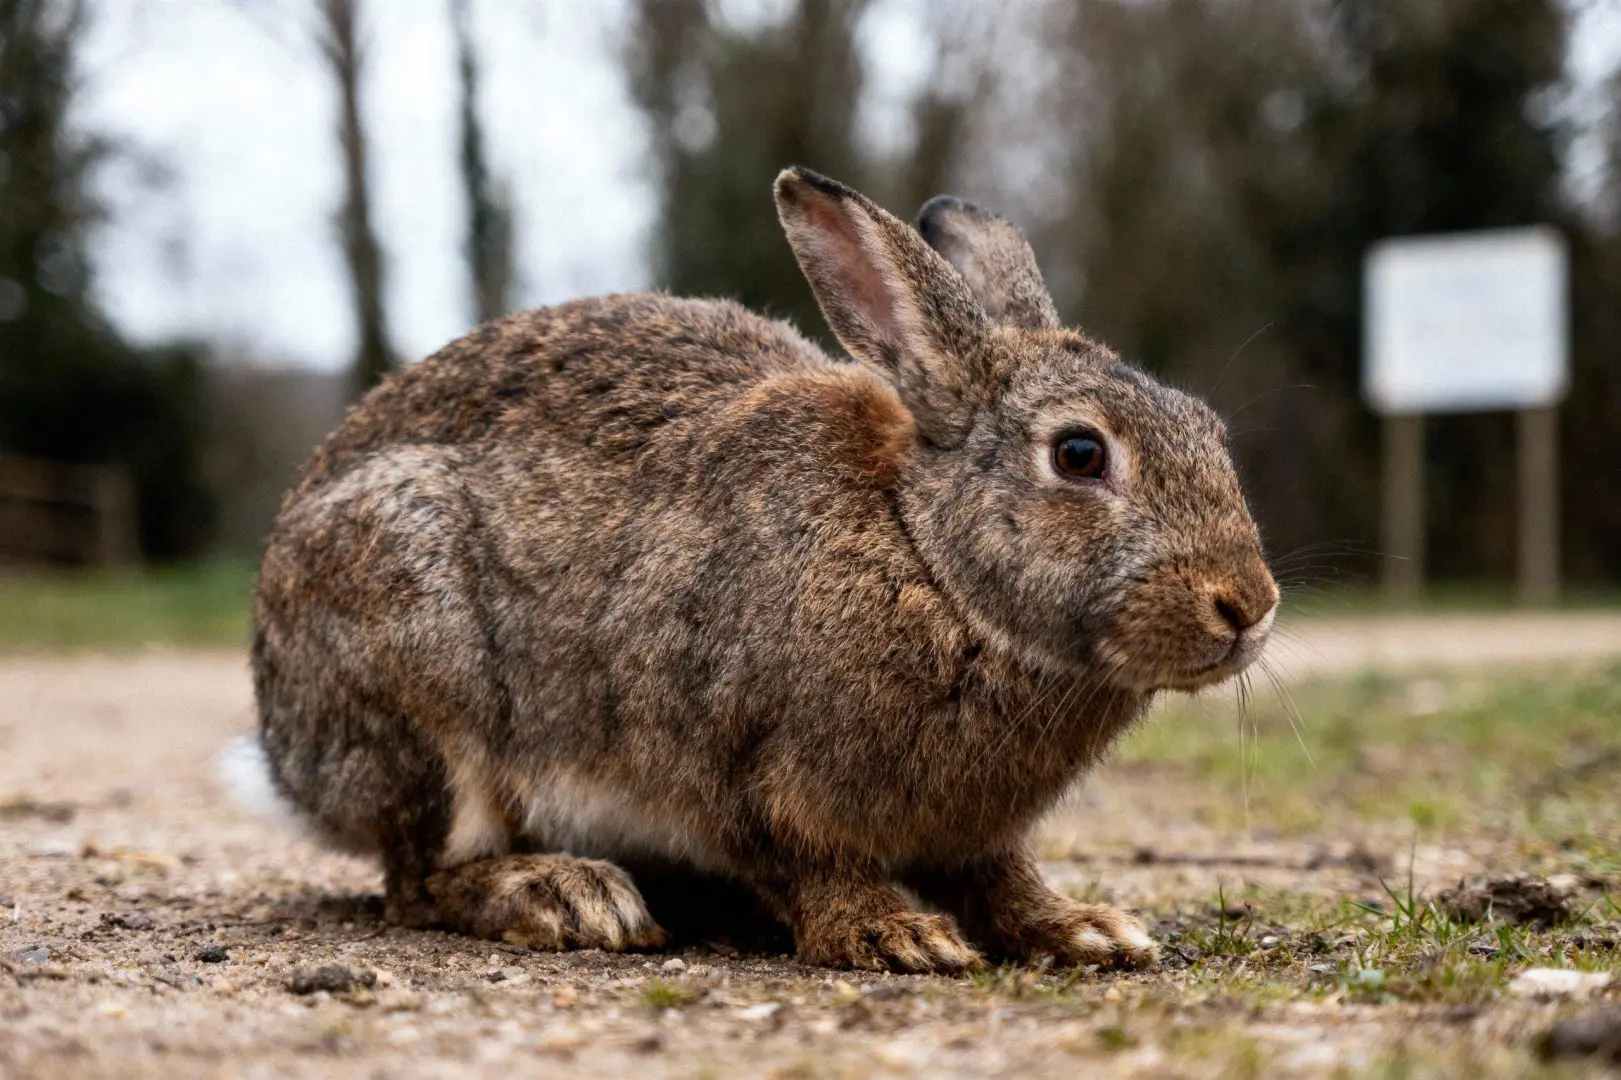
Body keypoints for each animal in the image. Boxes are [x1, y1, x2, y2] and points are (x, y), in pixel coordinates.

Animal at [240, 166, 1278, 974]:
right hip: (420, 669)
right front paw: (894, 934)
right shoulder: (735, 767)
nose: (1248, 606)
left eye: (1209, 429)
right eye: (1078, 454)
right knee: (417, 878)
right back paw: (566, 894)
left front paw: (1087, 929)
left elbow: (1003, 878)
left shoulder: (978, 834)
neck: (926, 559)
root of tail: (285, 757)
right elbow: (801, 861)